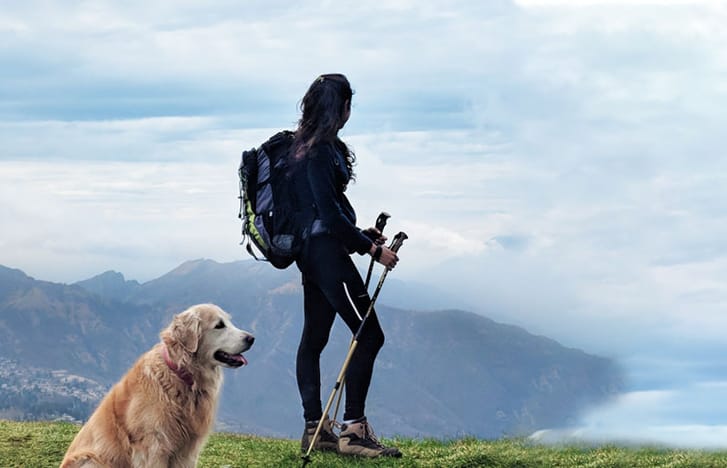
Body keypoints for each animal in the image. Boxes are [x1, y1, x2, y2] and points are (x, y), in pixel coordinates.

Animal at [59, 302, 255, 466]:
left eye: (229, 321)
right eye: (219, 325)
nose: (251, 338)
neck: (181, 375)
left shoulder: (188, 450)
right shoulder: (153, 446)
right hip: (90, 459)